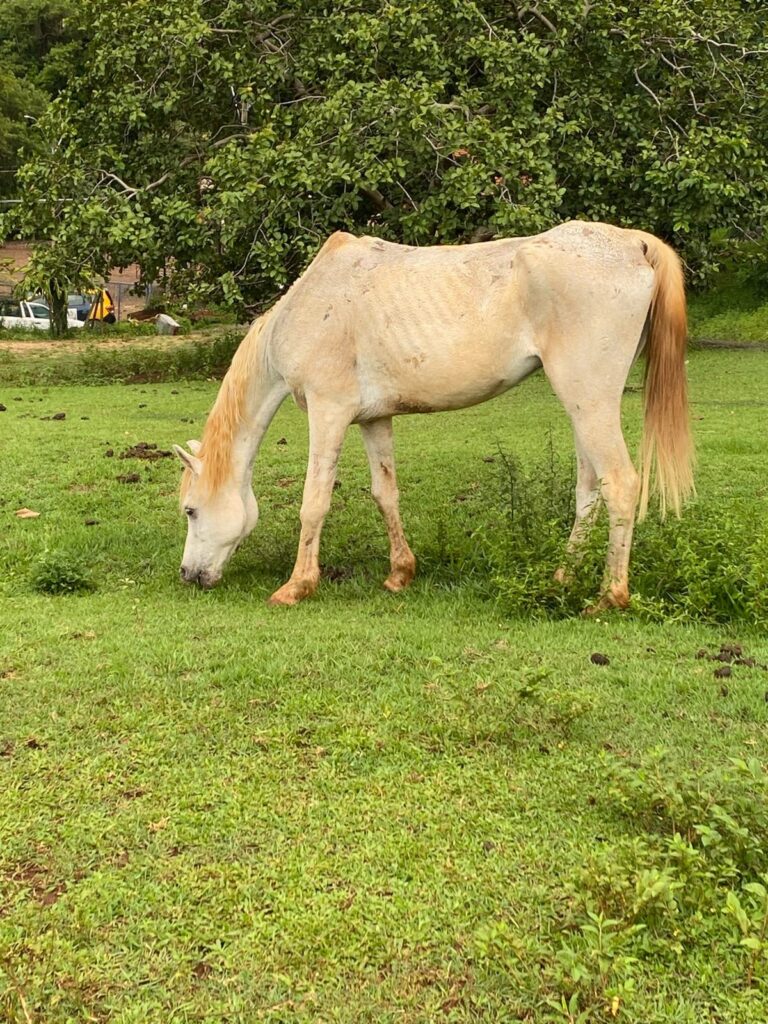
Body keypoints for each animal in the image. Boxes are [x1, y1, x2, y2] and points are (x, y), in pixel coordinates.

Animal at [174, 220, 693, 609]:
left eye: (190, 510)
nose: (188, 575)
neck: (310, 304)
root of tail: (633, 243)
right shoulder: (372, 420)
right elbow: (385, 494)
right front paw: (400, 574)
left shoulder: (328, 413)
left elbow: (314, 501)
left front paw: (297, 586)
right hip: (583, 406)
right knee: (589, 490)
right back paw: (563, 578)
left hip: (589, 400)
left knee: (620, 483)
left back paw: (609, 596)